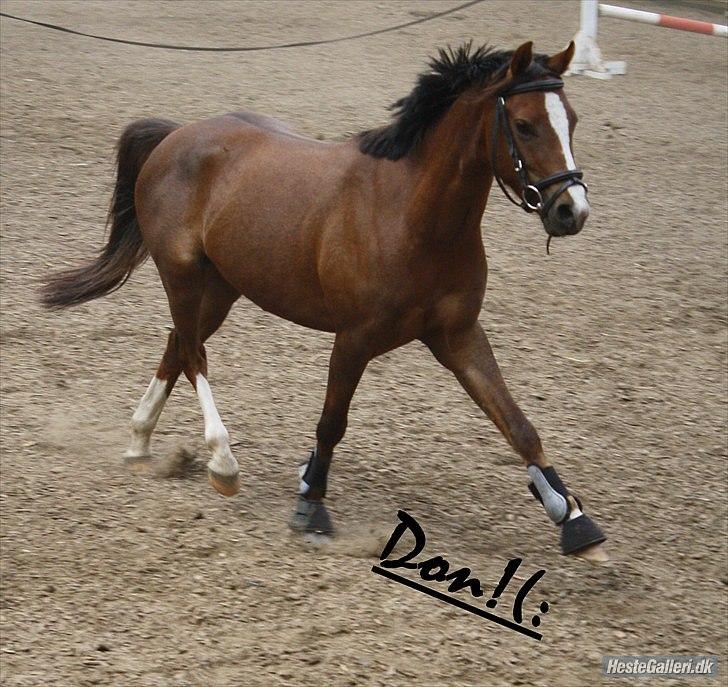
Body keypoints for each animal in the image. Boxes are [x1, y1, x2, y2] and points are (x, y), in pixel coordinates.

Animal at [41, 40, 607, 561]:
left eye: (573, 121)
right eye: (527, 125)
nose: (570, 210)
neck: (413, 217)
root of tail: (178, 135)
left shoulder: (457, 335)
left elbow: (518, 424)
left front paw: (575, 521)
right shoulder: (354, 337)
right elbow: (332, 422)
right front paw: (311, 504)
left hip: (221, 288)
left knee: (178, 344)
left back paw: (140, 443)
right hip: (180, 274)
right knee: (194, 354)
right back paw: (222, 463)